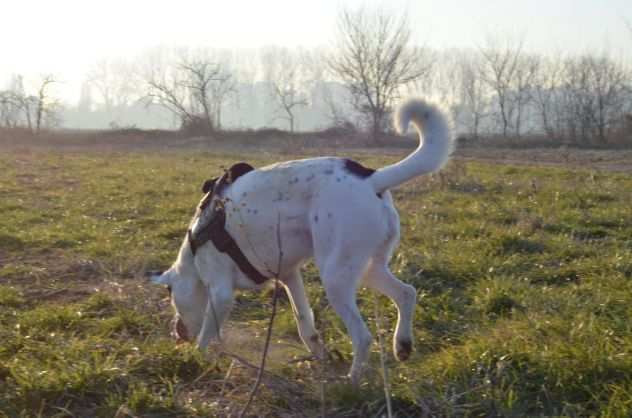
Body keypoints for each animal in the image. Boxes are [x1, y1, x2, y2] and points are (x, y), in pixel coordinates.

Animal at [151, 99, 452, 386]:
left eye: (169, 293)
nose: (176, 334)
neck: (195, 248)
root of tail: (371, 178)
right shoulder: (289, 275)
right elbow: (305, 324)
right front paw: (320, 357)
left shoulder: (221, 292)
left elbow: (205, 334)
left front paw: (196, 359)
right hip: (368, 268)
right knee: (406, 293)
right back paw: (402, 345)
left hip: (336, 278)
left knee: (364, 336)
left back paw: (351, 382)